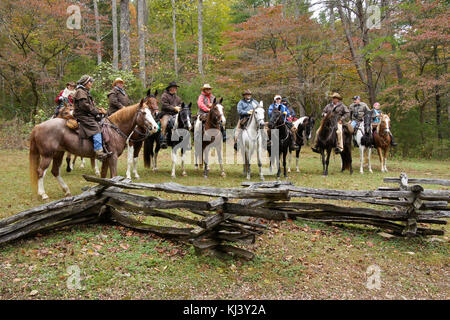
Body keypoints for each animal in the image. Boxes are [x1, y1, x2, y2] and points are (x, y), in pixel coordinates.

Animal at [29, 95, 159, 200]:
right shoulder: (113, 157)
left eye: (150, 112)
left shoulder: (106, 158)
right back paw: (43, 194)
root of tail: (37, 127)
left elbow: (104, 176)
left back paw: (66, 190)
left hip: (58, 153)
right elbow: (114, 175)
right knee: (40, 172)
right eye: (144, 113)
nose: (154, 127)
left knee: (55, 171)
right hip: (47, 155)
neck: (115, 129)